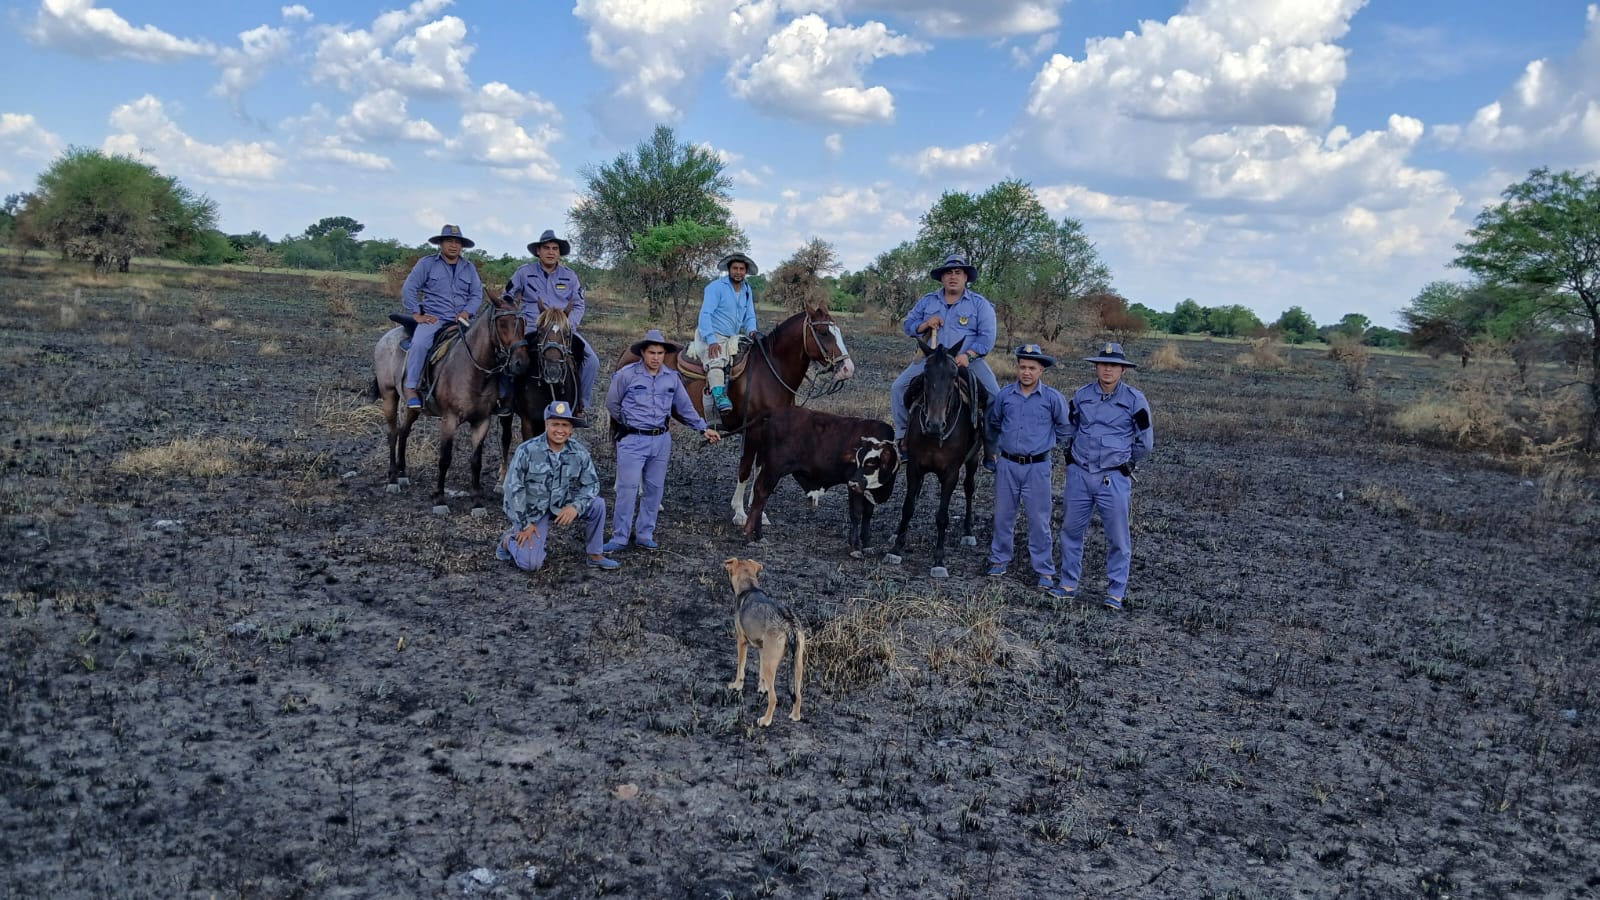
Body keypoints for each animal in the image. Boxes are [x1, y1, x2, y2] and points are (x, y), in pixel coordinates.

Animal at [372, 294, 531, 515]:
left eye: (524, 323)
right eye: (502, 323)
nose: (521, 363)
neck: (472, 370)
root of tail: (388, 336)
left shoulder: (482, 421)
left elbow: (476, 461)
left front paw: (477, 502)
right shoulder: (449, 420)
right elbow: (445, 458)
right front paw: (440, 499)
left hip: (414, 407)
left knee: (404, 431)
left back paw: (403, 474)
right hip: (388, 396)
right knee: (393, 434)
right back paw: (393, 479)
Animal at [611, 304, 857, 522]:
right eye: (823, 332)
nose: (848, 369)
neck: (769, 372)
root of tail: (628, 351)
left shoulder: (767, 430)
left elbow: (759, 469)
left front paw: (760, 513)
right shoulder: (753, 430)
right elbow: (745, 468)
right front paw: (739, 512)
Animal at [723, 554, 800, 720]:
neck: (749, 587)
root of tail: (788, 623)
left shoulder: (741, 641)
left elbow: (741, 669)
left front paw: (736, 686)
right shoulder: (762, 649)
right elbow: (761, 674)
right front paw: (762, 688)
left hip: (772, 664)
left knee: (774, 698)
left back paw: (765, 721)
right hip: (796, 666)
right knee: (798, 695)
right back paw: (795, 716)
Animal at [883, 336, 979, 573]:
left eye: (953, 374)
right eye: (926, 374)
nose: (934, 424)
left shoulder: (951, 474)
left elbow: (942, 516)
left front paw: (939, 560)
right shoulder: (915, 467)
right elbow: (908, 506)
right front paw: (896, 549)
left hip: (974, 460)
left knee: (969, 488)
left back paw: (968, 532)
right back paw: (897, 533)